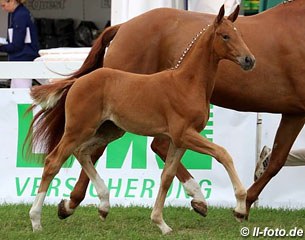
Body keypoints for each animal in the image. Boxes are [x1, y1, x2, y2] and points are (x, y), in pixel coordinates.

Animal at [27, 6, 252, 234]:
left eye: (240, 35)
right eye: (225, 36)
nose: (249, 60)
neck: (186, 83)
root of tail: (77, 81)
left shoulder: (179, 141)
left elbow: (167, 177)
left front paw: (161, 223)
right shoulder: (184, 133)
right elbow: (223, 154)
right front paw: (240, 208)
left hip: (110, 130)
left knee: (82, 152)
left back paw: (103, 204)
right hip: (78, 129)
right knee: (53, 162)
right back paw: (36, 220)